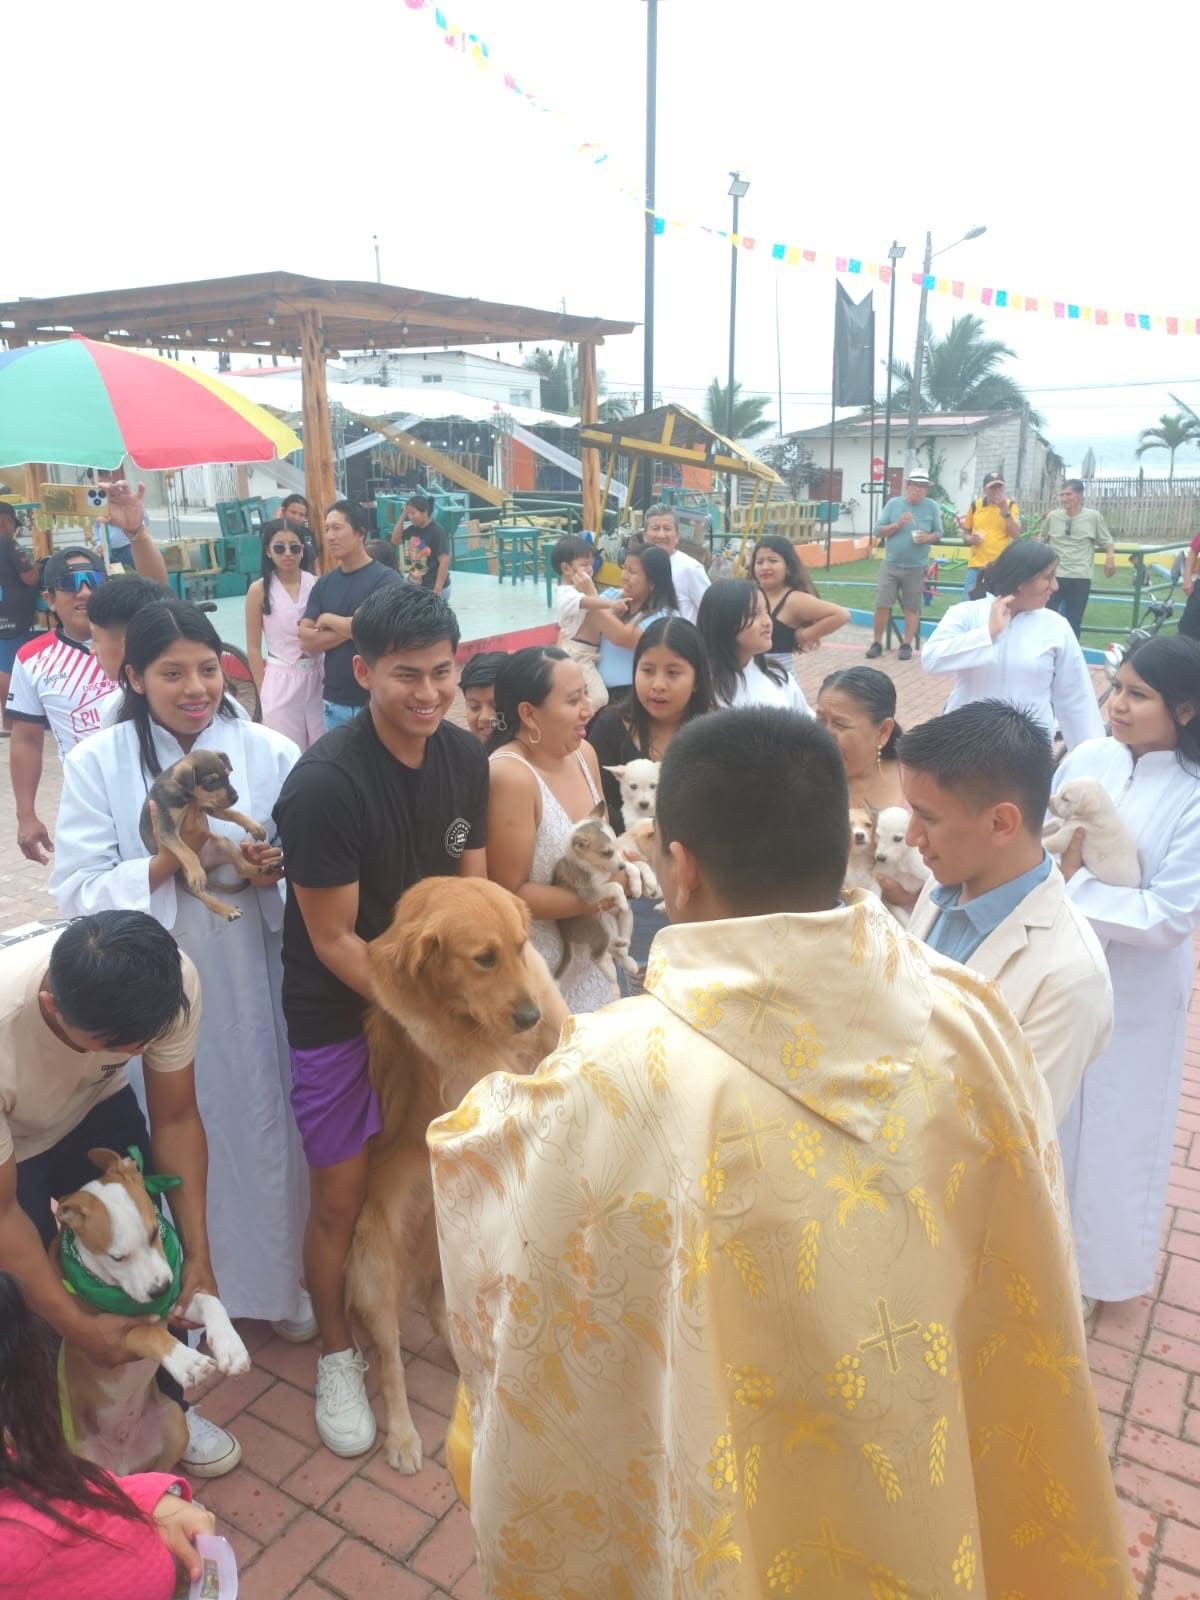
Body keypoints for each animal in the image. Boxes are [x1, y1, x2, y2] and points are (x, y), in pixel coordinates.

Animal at [55, 1148, 249, 1476]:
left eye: (154, 1232)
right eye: (117, 1258)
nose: (161, 1289)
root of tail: (122, 1464)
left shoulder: (177, 1305)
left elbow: (210, 1301)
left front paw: (230, 1347)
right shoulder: (109, 1337)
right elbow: (146, 1332)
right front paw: (189, 1363)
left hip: (175, 1421)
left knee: (160, 1471)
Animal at [138, 751, 276, 923]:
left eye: (227, 775)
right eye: (211, 782)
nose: (236, 797)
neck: (187, 796)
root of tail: (206, 866)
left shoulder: (210, 806)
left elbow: (233, 813)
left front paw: (255, 827)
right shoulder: (166, 829)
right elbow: (187, 851)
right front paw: (197, 873)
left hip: (223, 843)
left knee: (243, 869)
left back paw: (264, 868)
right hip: (186, 875)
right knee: (206, 897)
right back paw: (227, 909)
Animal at [345, 877, 567, 1472]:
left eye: (519, 947)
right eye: (483, 959)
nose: (527, 1016)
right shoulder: (477, 1082)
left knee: (444, 1313)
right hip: (374, 1267)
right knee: (391, 1361)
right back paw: (402, 1437)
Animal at [552, 806, 638, 981]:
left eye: (616, 848)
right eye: (606, 852)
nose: (620, 866)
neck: (597, 868)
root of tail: (564, 935)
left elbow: (632, 867)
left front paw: (638, 883)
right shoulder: (590, 892)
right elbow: (615, 885)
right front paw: (622, 898)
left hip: (623, 919)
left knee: (617, 946)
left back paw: (625, 954)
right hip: (599, 925)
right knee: (596, 955)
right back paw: (610, 972)